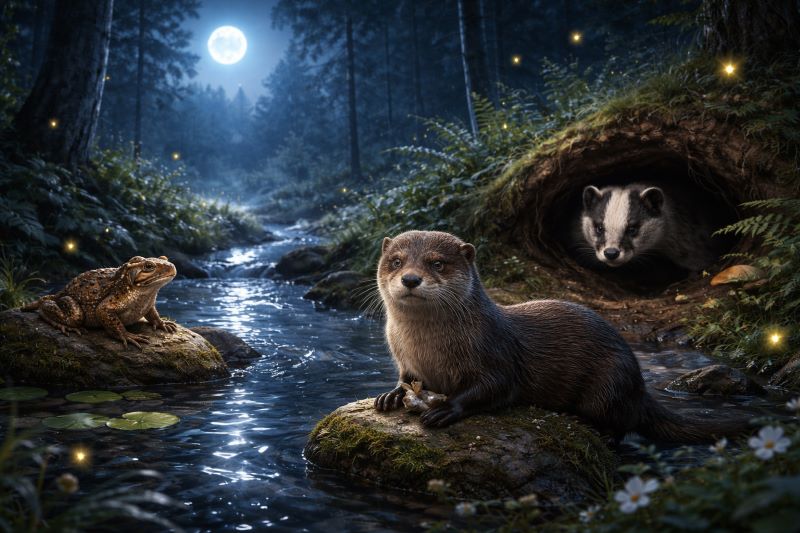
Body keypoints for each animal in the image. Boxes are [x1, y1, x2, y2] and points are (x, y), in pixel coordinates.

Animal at [374, 230, 747, 443]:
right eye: (396, 261)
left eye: (437, 263)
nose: (410, 278)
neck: (428, 350)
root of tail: (640, 386)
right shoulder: (404, 358)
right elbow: (405, 379)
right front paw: (391, 395)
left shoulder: (495, 352)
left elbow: (494, 388)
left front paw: (445, 409)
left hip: (610, 380)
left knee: (621, 425)